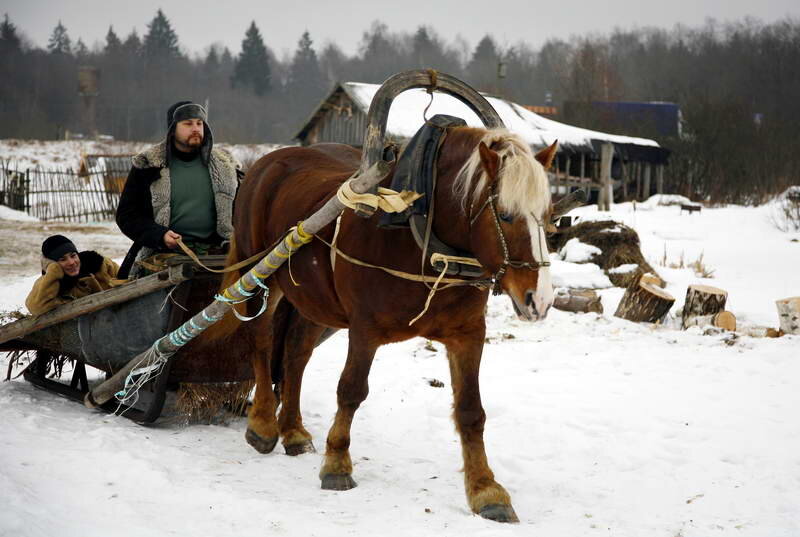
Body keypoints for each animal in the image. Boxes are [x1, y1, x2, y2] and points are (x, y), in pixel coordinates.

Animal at [222, 127, 560, 520]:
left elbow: (471, 410)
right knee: (261, 339)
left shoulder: (468, 334)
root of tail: (265, 162)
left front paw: (485, 490)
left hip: (311, 297)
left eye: (549, 216)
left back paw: (293, 430)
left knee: (296, 353)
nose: (540, 300)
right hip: (260, 272)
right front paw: (337, 464)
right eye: (504, 215)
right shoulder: (364, 330)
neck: (422, 237)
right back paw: (262, 423)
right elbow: (351, 391)